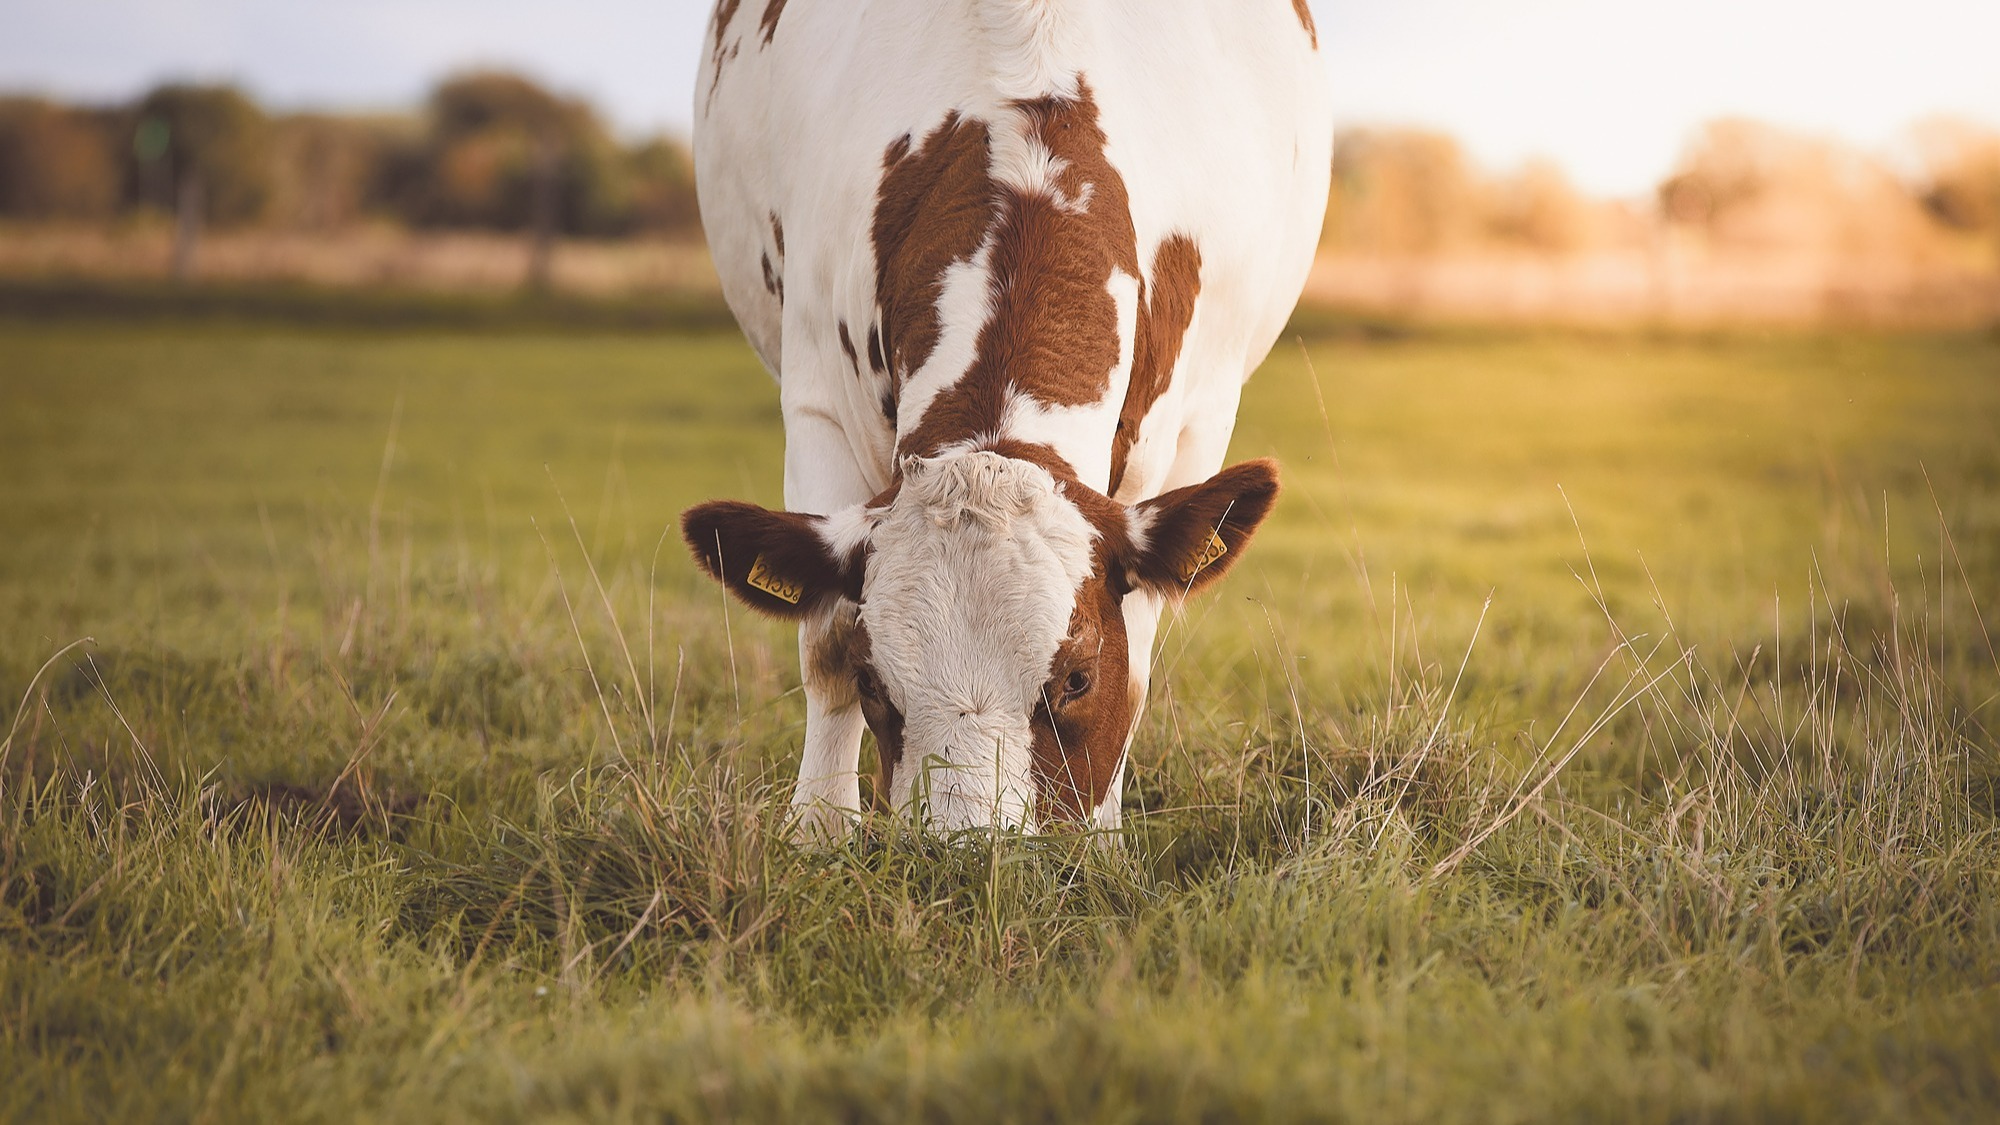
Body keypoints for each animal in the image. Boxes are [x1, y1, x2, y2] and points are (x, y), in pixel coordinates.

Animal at [684, 0, 1328, 828]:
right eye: (875, 681)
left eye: (1077, 678)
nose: (967, 849)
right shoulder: (817, 398)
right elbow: (822, 640)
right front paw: (817, 832)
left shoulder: (1196, 426)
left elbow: (1139, 653)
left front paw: (1101, 835)